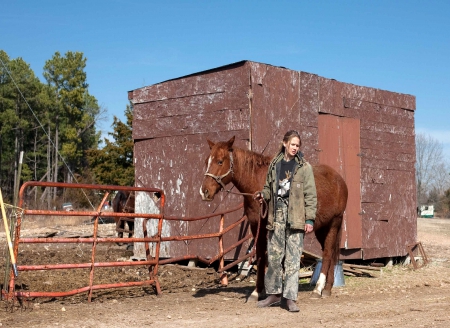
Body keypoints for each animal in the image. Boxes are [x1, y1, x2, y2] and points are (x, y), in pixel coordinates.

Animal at [200, 136, 348, 300]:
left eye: (220, 161)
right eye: (206, 161)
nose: (204, 192)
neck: (257, 182)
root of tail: (339, 180)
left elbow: (269, 257)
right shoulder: (255, 225)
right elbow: (260, 256)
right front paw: (259, 291)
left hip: (334, 223)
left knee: (328, 253)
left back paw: (320, 289)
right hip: (322, 228)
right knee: (330, 253)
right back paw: (327, 288)